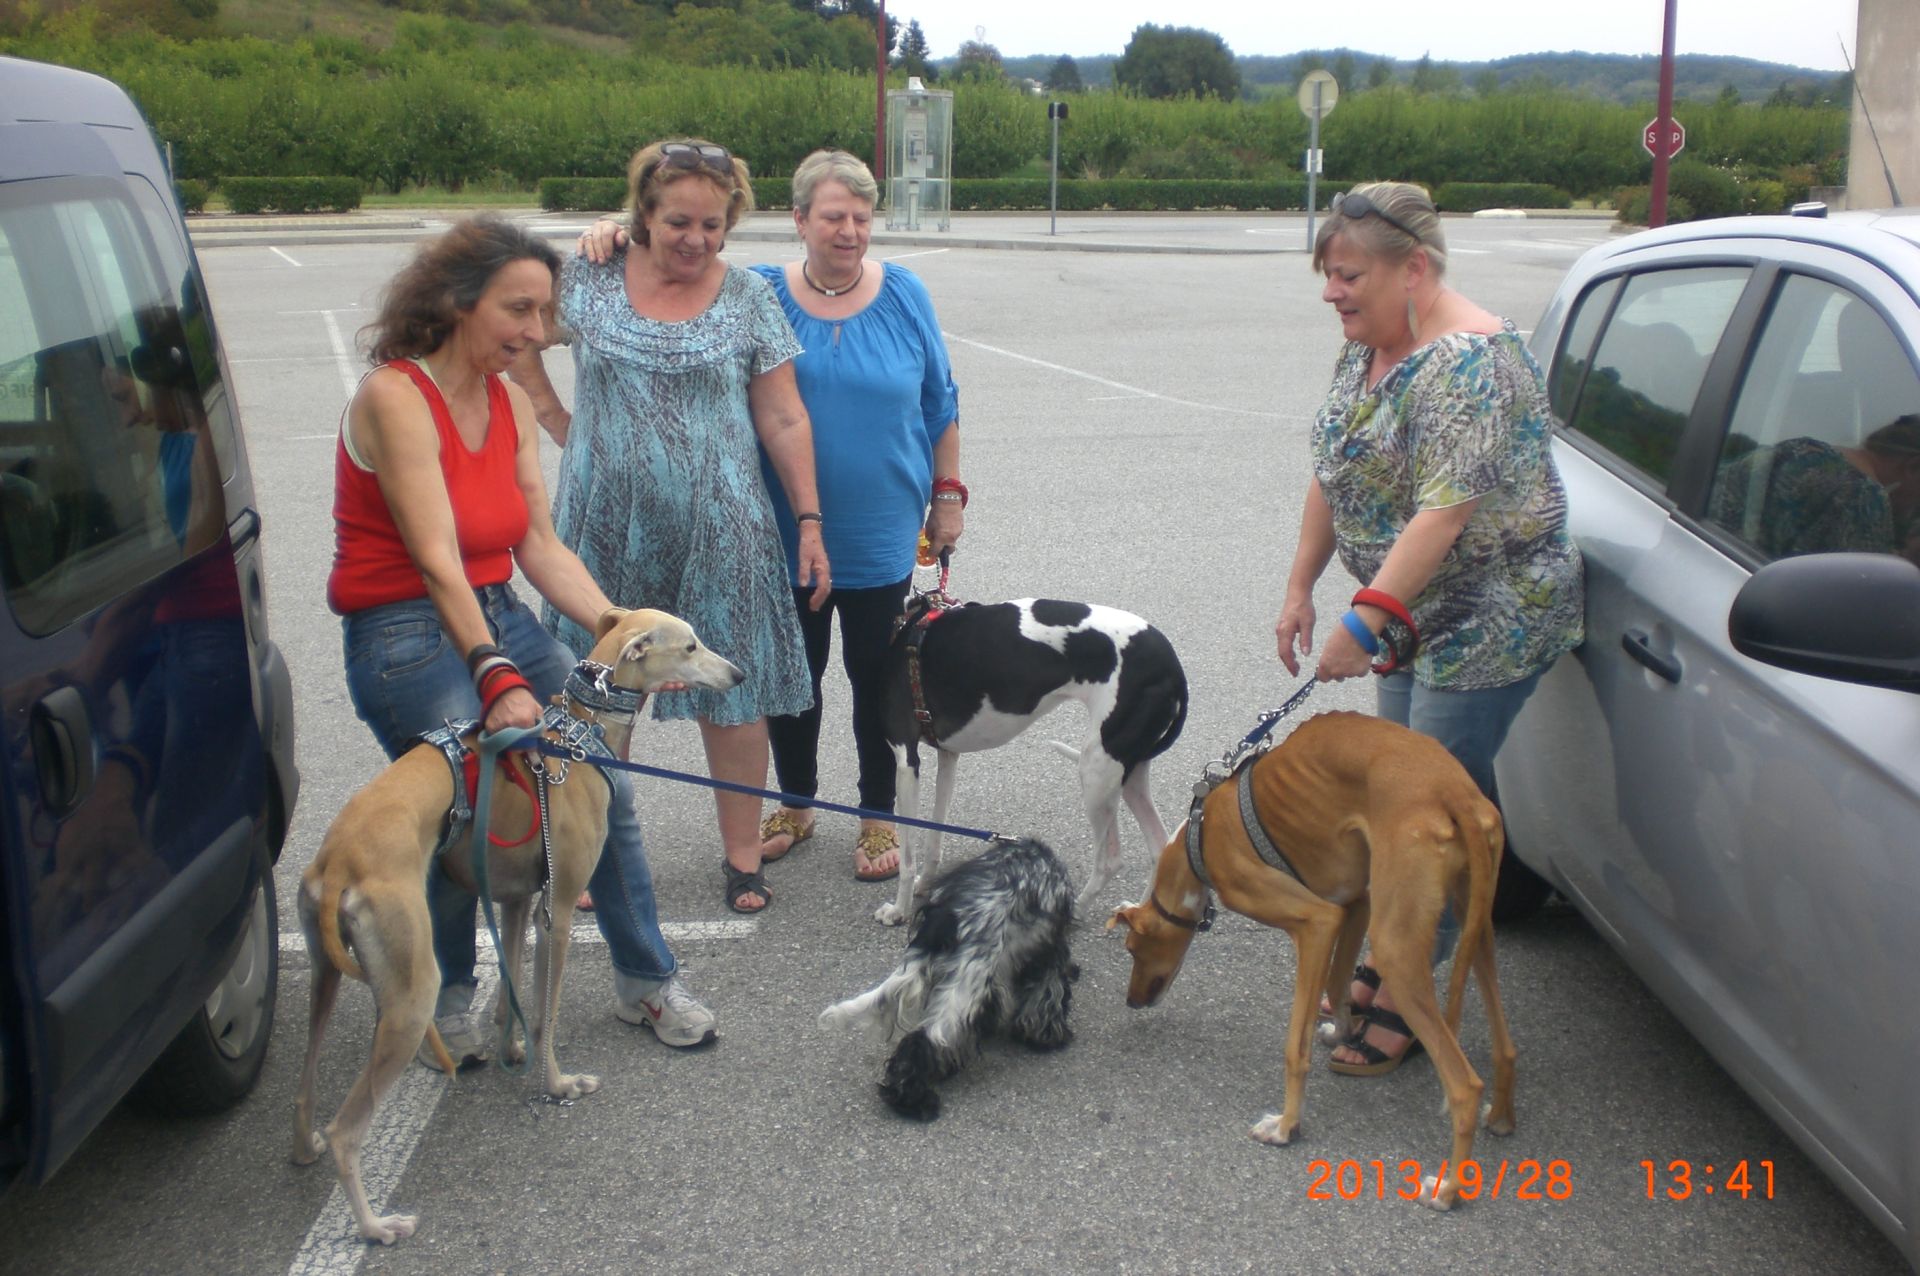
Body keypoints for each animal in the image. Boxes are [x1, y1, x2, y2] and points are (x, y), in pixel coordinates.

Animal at [289, 608, 743, 1245]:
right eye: (691, 646)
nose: (739, 674)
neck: (574, 738)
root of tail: (338, 864)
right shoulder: (560, 908)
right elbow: (546, 1008)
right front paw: (556, 1084)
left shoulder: (516, 902)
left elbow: (511, 987)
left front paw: (512, 1046)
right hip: (410, 993)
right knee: (345, 1131)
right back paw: (376, 1225)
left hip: (324, 978)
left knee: (305, 1084)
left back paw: (303, 1146)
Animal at [819, 837, 1077, 1121]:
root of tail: (945, 918)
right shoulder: (1049, 952)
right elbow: (1047, 997)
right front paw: (1046, 1036)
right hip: (966, 979)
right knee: (928, 1039)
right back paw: (915, 1102)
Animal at [878, 596, 1187, 926]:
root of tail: (1173, 666)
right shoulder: (948, 755)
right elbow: (933, 836)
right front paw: (925, 885)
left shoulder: (905, 761)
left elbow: (908, 856)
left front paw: (898, 910)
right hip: (1127, 771)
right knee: (1159, 844)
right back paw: (1141, 915)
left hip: (1097, 769)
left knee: (1110, 861)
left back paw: (1074, 910)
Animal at [1106, 711, 1516, 1211]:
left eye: (1131, 950)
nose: (1131, 1001)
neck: (1199, 841)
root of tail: (1454, 790)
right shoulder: (1354, 906)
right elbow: (1338, 987)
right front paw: (1342, 1031)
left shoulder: (1317, 922)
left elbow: (1294, 1049)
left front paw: (1287, 1126)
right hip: (1476, 925)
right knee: (1505, 1045)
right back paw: (1501, 1116)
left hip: (1397, 949)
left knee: (1464, 1086)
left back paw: (1449, 1188)